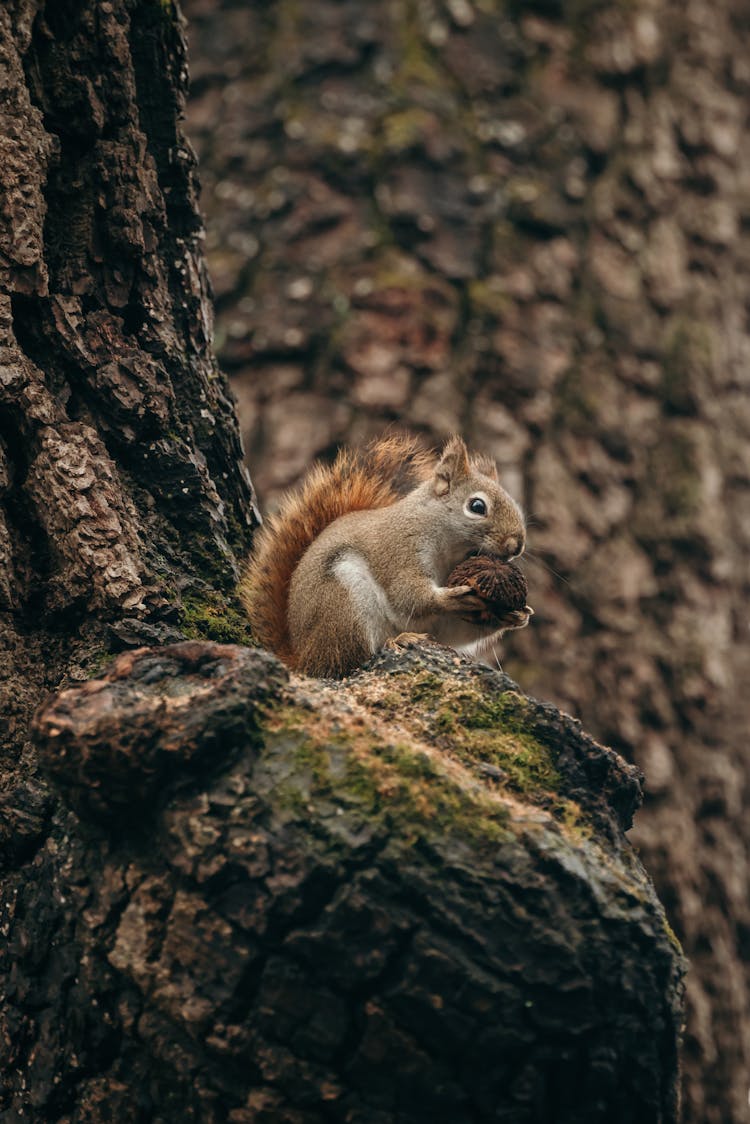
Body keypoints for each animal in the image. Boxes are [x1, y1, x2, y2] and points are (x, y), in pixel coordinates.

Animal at [240, 429, 528, 674]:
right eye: (477, 506)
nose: (517, 545)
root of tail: (303, 659)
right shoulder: (398, 550)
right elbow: (408, 596)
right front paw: (451, 597)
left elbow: (449, 630)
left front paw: (514, 616)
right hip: (343, 603)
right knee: (351, 661)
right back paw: (398, 640)